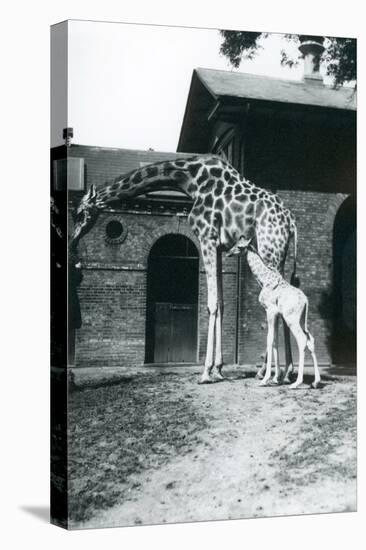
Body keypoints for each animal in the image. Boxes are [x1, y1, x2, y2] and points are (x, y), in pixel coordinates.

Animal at [69, 155, 298, 384]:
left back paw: (273, 373)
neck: (190, 179)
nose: (72, 240)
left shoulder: (206, 237)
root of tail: (291, 222)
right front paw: (218, 369)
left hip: (269, 250)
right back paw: (285, 372)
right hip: (278, 254)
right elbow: (221, 304)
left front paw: (206, 372)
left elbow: (212, 304)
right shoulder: (219, 247)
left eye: (79, 213)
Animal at [232, 239, 320, 390]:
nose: (228, 252)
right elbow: (275, 340)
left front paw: (265, 379)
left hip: (292, 319)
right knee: (310, 340)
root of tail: (306, 300)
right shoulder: (277, 314)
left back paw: (296, 383)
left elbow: (269, 339)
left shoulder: (270, 311)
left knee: (302, 340)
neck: (264, 280)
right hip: (302, 319)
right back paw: (315, 382)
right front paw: (276, 378)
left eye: (239, 246)